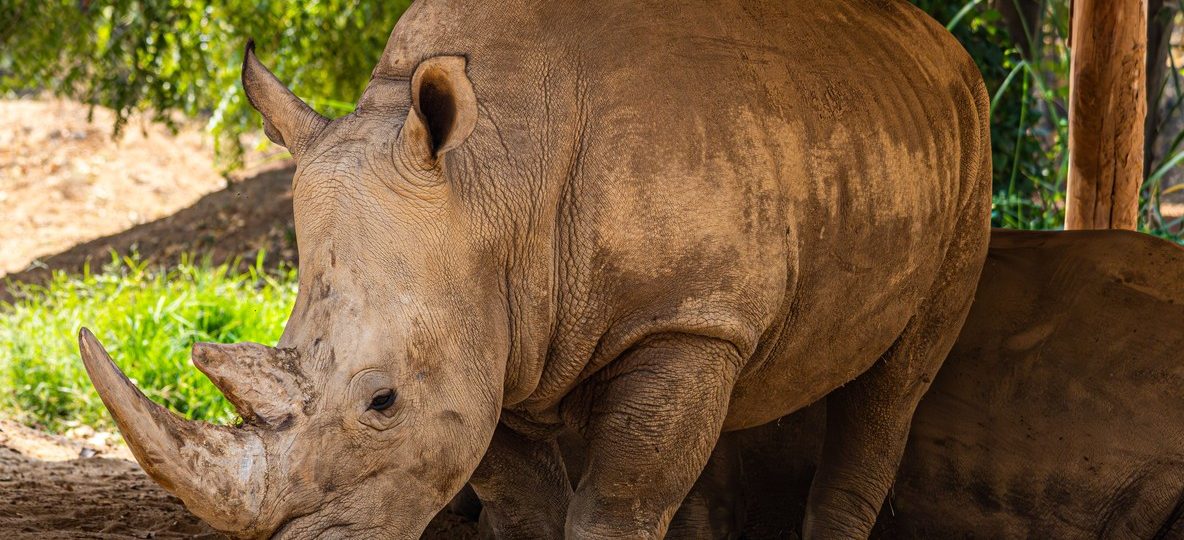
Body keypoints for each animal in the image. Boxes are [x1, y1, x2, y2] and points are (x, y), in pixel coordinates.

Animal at [76, 0, 991, 537]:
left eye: (382, 402)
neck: (491, 182)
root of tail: (936, 39)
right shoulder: (491, 334)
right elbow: (523, 502)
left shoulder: (676, 318)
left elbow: (617, 502)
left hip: (971, 140)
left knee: (897, 381)